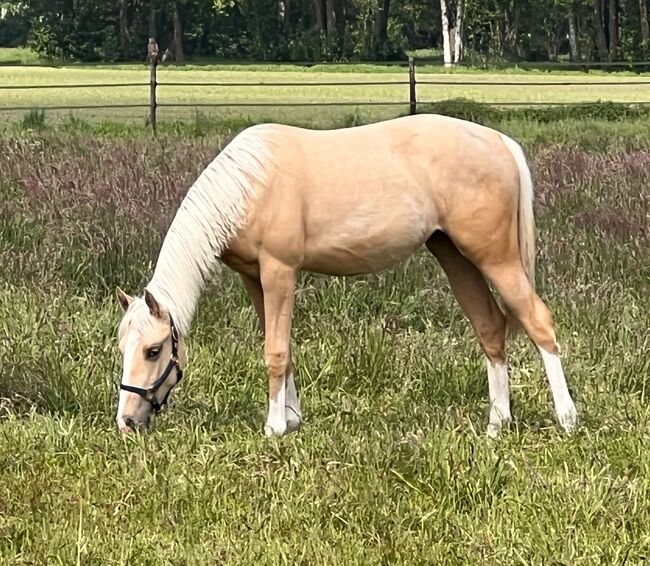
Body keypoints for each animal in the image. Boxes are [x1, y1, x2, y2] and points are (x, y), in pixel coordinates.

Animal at [114, 114, 576, 440]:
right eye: (123, 347)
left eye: (153, 351)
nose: (127, 421)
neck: (251, 184)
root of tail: (500, 141)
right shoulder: (253, 278)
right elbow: (281, 346)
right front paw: (292, 419)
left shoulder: (280, 271)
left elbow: (275, 351)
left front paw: (274, 428)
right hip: (455, 256)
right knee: (490, 327)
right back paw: (498, 423)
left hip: (496, 257)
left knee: (538, 322)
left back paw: (567, 419)